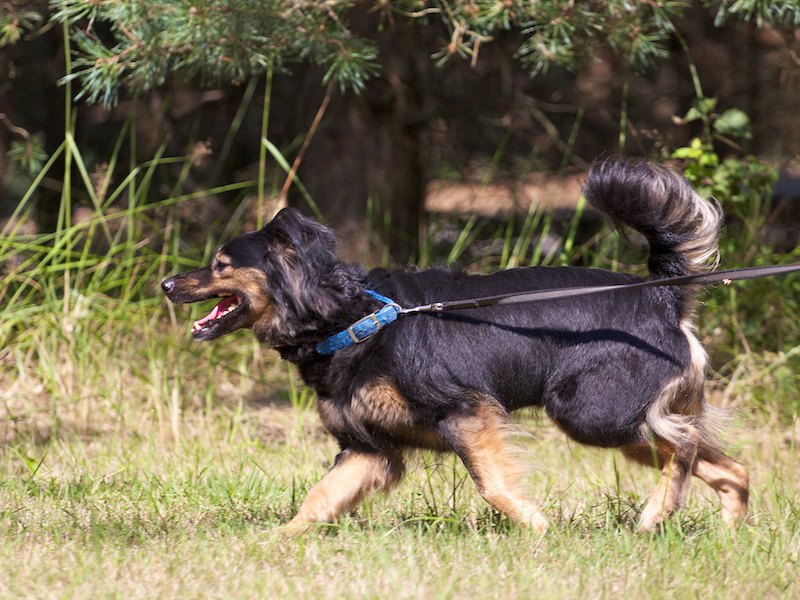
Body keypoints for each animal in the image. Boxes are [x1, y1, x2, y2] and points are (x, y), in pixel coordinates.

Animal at [161, 158, 749, 533]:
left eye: (220, 264)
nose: (166, 284)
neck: (354, 321)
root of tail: (661, 296)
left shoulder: (466, 412)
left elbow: (492, 484)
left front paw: (537, 527)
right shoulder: (370, 448)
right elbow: (319, 498)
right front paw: (275, 542)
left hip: (591, 410)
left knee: (684, 445)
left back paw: (656, 515)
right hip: (623, 417)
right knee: (725, 464)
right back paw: (729, 527)